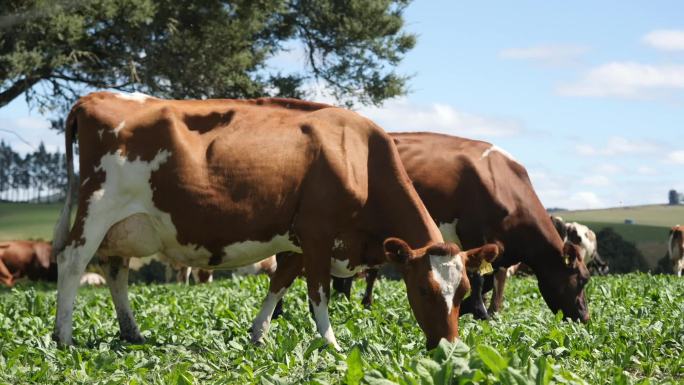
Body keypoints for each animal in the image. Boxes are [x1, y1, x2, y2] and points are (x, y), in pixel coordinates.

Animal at [54, 91, 492, 348]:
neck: (359, 156)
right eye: (422, 290)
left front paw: (258, 334)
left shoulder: (297, 239)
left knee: (115, 270)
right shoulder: (317, 233)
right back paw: (63, 336)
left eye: (464, 291)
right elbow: (318, 292)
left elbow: (280, 282)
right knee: (73, 262)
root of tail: (95, 95)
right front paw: (331, 344)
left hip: (123, 226)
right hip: (98, 208)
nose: (449, 347)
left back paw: (132, 333)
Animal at [308, 134, 592, 320]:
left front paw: (469, 307)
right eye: (583, 279)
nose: (584, 318)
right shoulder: (473, 234)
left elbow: (486, 281)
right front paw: (479, 312)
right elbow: (478, 279)